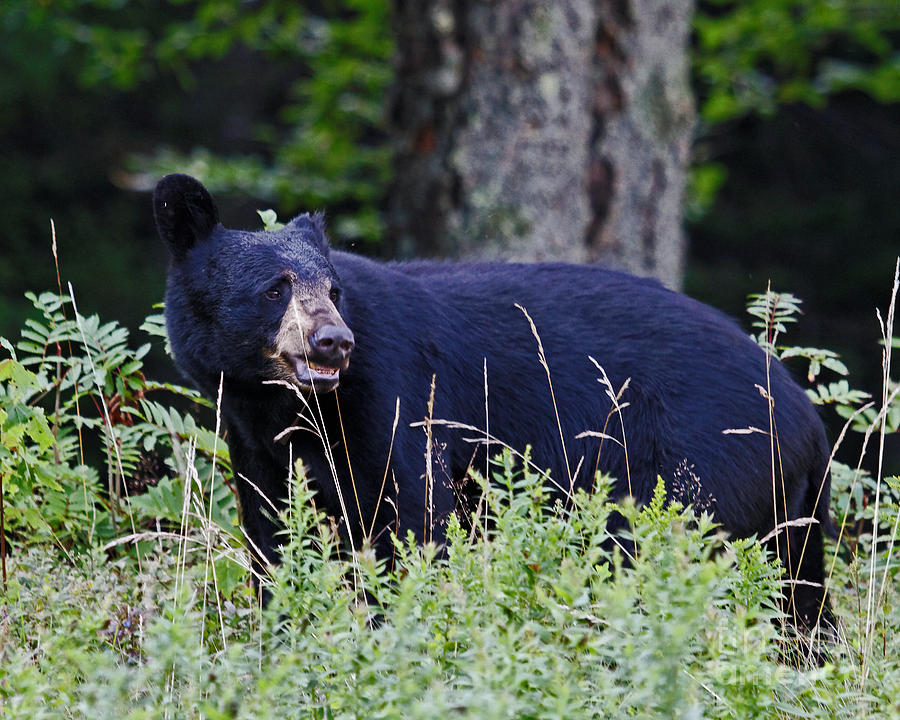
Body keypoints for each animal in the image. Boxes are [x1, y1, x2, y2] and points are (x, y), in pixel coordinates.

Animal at [155, 173, 836, 624]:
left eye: (334, 289)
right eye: (275, 289)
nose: (334, 342)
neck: (285, 401)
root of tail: (808, 424)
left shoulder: (394, 394)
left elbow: (410, 515)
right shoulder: (251, 433)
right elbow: (269, 534)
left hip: (699, 469)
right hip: (785, 514)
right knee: (799, 600)